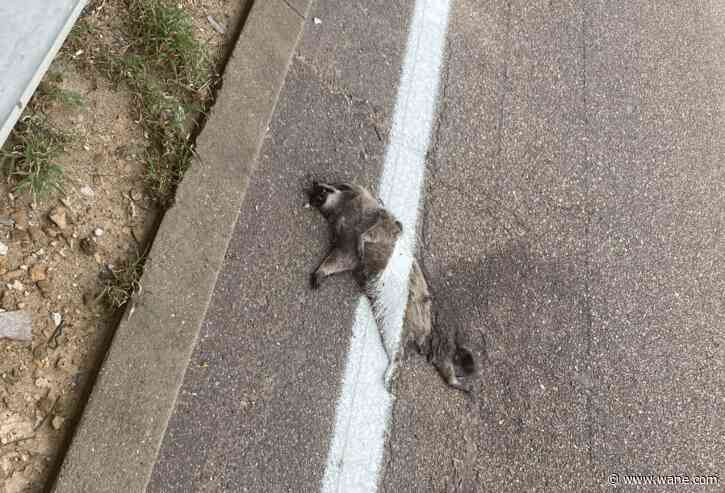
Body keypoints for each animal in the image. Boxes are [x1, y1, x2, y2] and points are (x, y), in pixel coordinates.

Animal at [307, 181, 475, 392]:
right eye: (314, 192)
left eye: (323, 187)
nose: (314, 184)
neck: (342, 209)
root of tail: (423, 333)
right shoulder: (346, 243)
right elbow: (341, 259)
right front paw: (322, 270)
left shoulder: (380, 220)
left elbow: (376, 230)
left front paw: (364, 238)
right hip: (397, 320)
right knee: (400, 343)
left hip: (409, 311)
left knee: (404, 347)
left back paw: (399, 366)